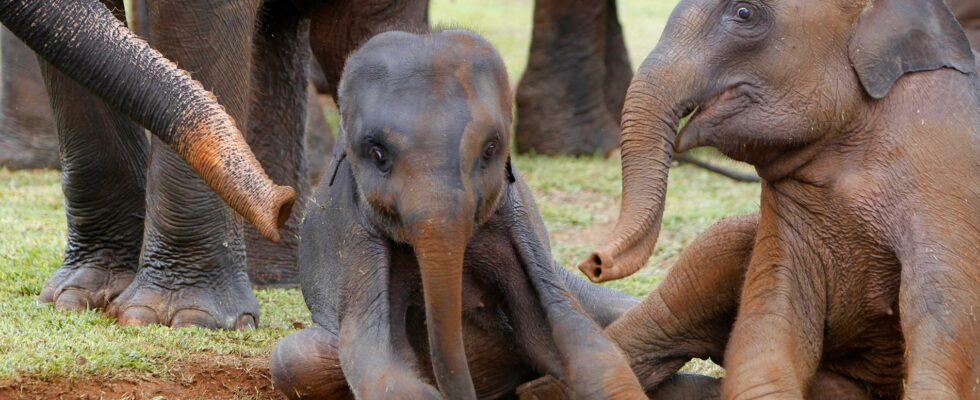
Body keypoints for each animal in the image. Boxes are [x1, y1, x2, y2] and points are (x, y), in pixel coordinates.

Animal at [272, 30, 676, 400]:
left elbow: (576, 337)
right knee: (295, 358)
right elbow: (380, 361)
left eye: (490, 149)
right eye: (377, 154)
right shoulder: (359, 237)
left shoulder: (514, 222)